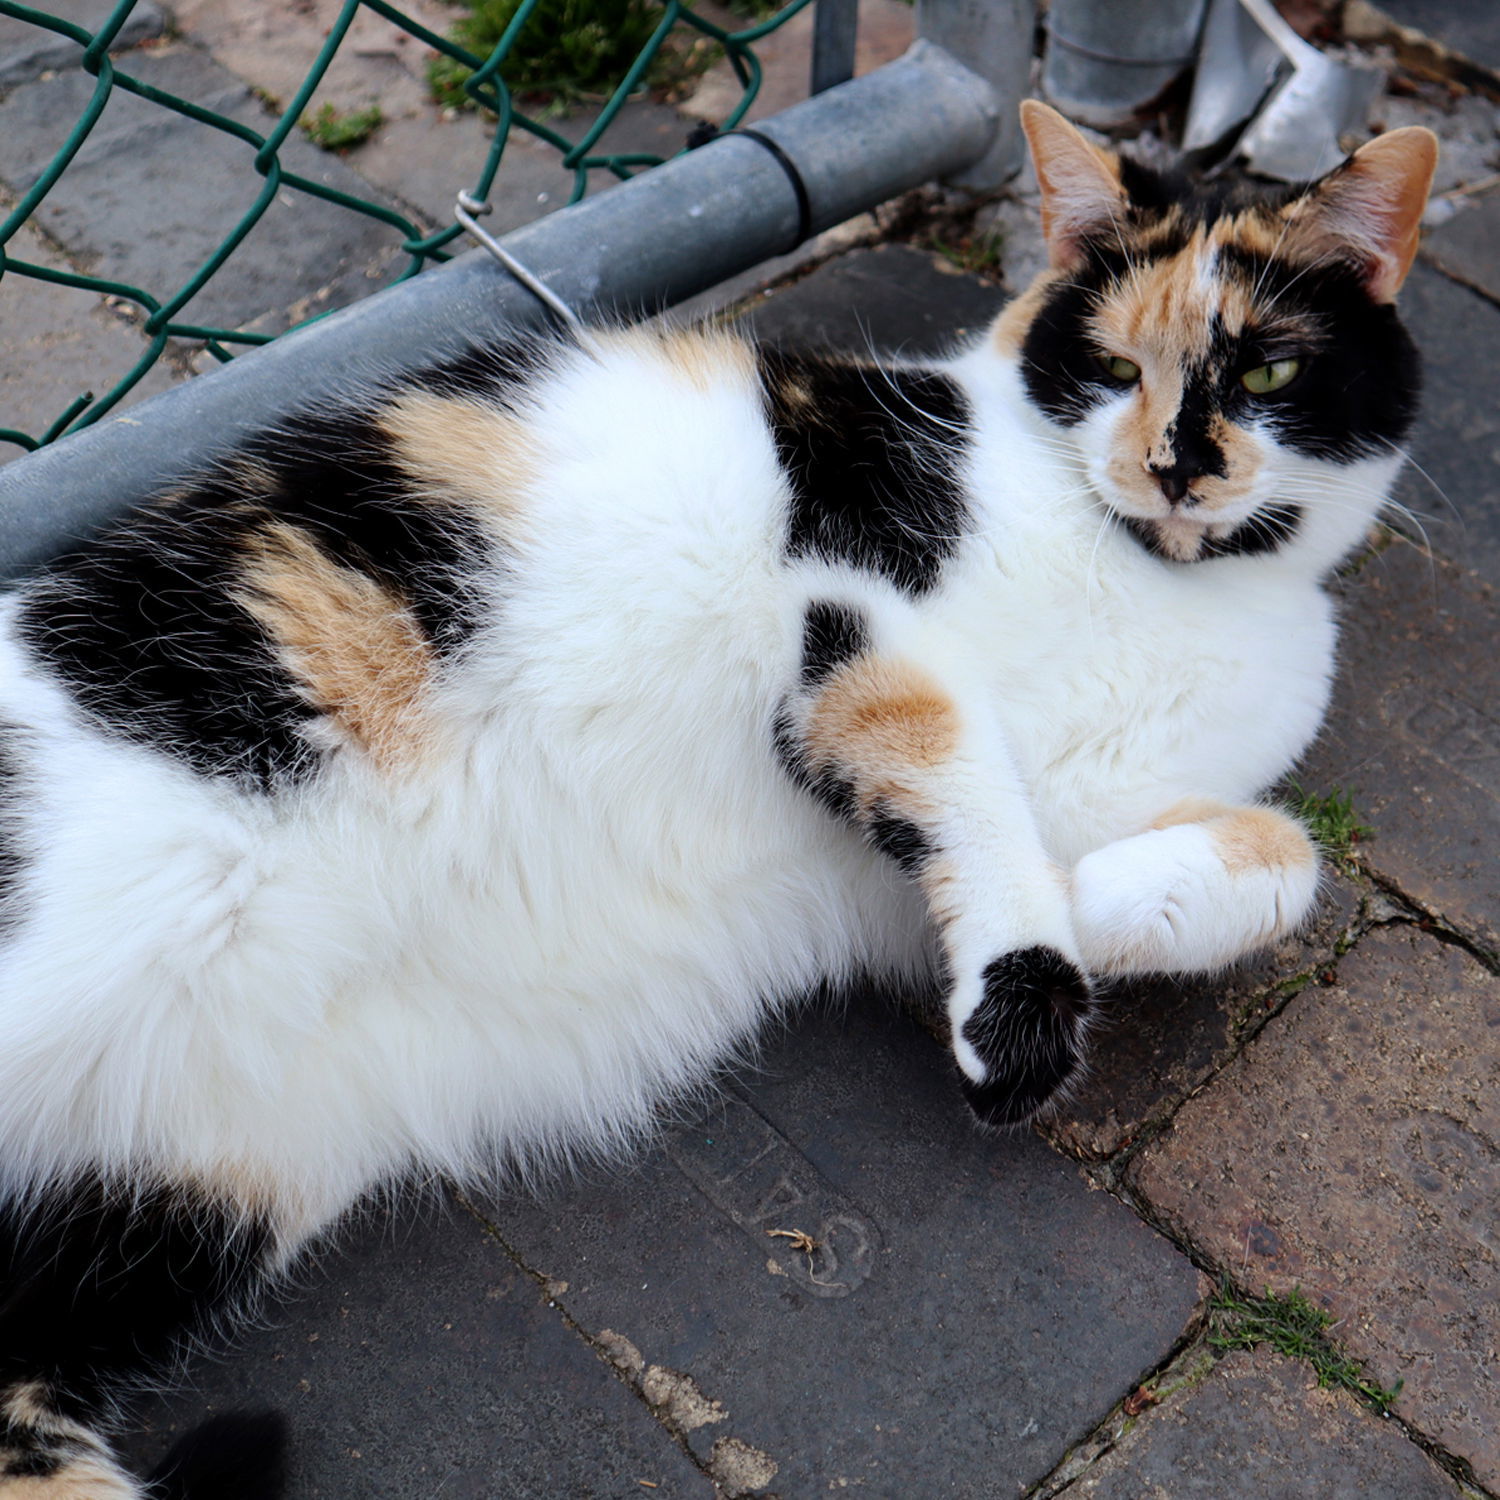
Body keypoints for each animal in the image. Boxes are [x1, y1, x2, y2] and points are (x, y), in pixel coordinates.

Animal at [0, 99, 1434, 1494]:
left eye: (1268, 371)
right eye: (1111, 367)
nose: (1179, 465)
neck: (1163, 577)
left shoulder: (1011, 834)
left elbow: (1279, 857)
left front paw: (1100, 908)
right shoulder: (845, 606)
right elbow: (963, 767)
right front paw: (1028, 1003)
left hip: (177, 1205)